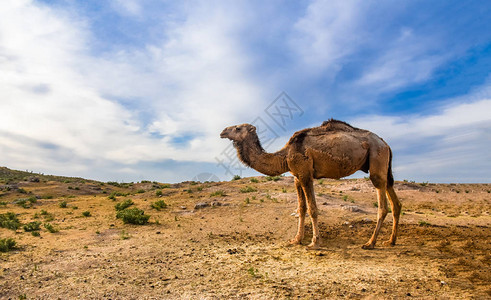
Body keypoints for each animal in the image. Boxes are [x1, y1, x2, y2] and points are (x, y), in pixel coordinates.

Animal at [221, 118, 402, 250]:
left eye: (238, 128)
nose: (222, 131)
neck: (284, 155)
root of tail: (386, 144)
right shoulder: (296, 177)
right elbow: (301, 208)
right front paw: (296, 239)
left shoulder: (305, 173)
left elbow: (312, 208)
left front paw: (314, 242)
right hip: (383, 166)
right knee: (395, 201)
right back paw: (390, 241)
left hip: (377, 158)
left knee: (382, 204)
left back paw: (370, 243)